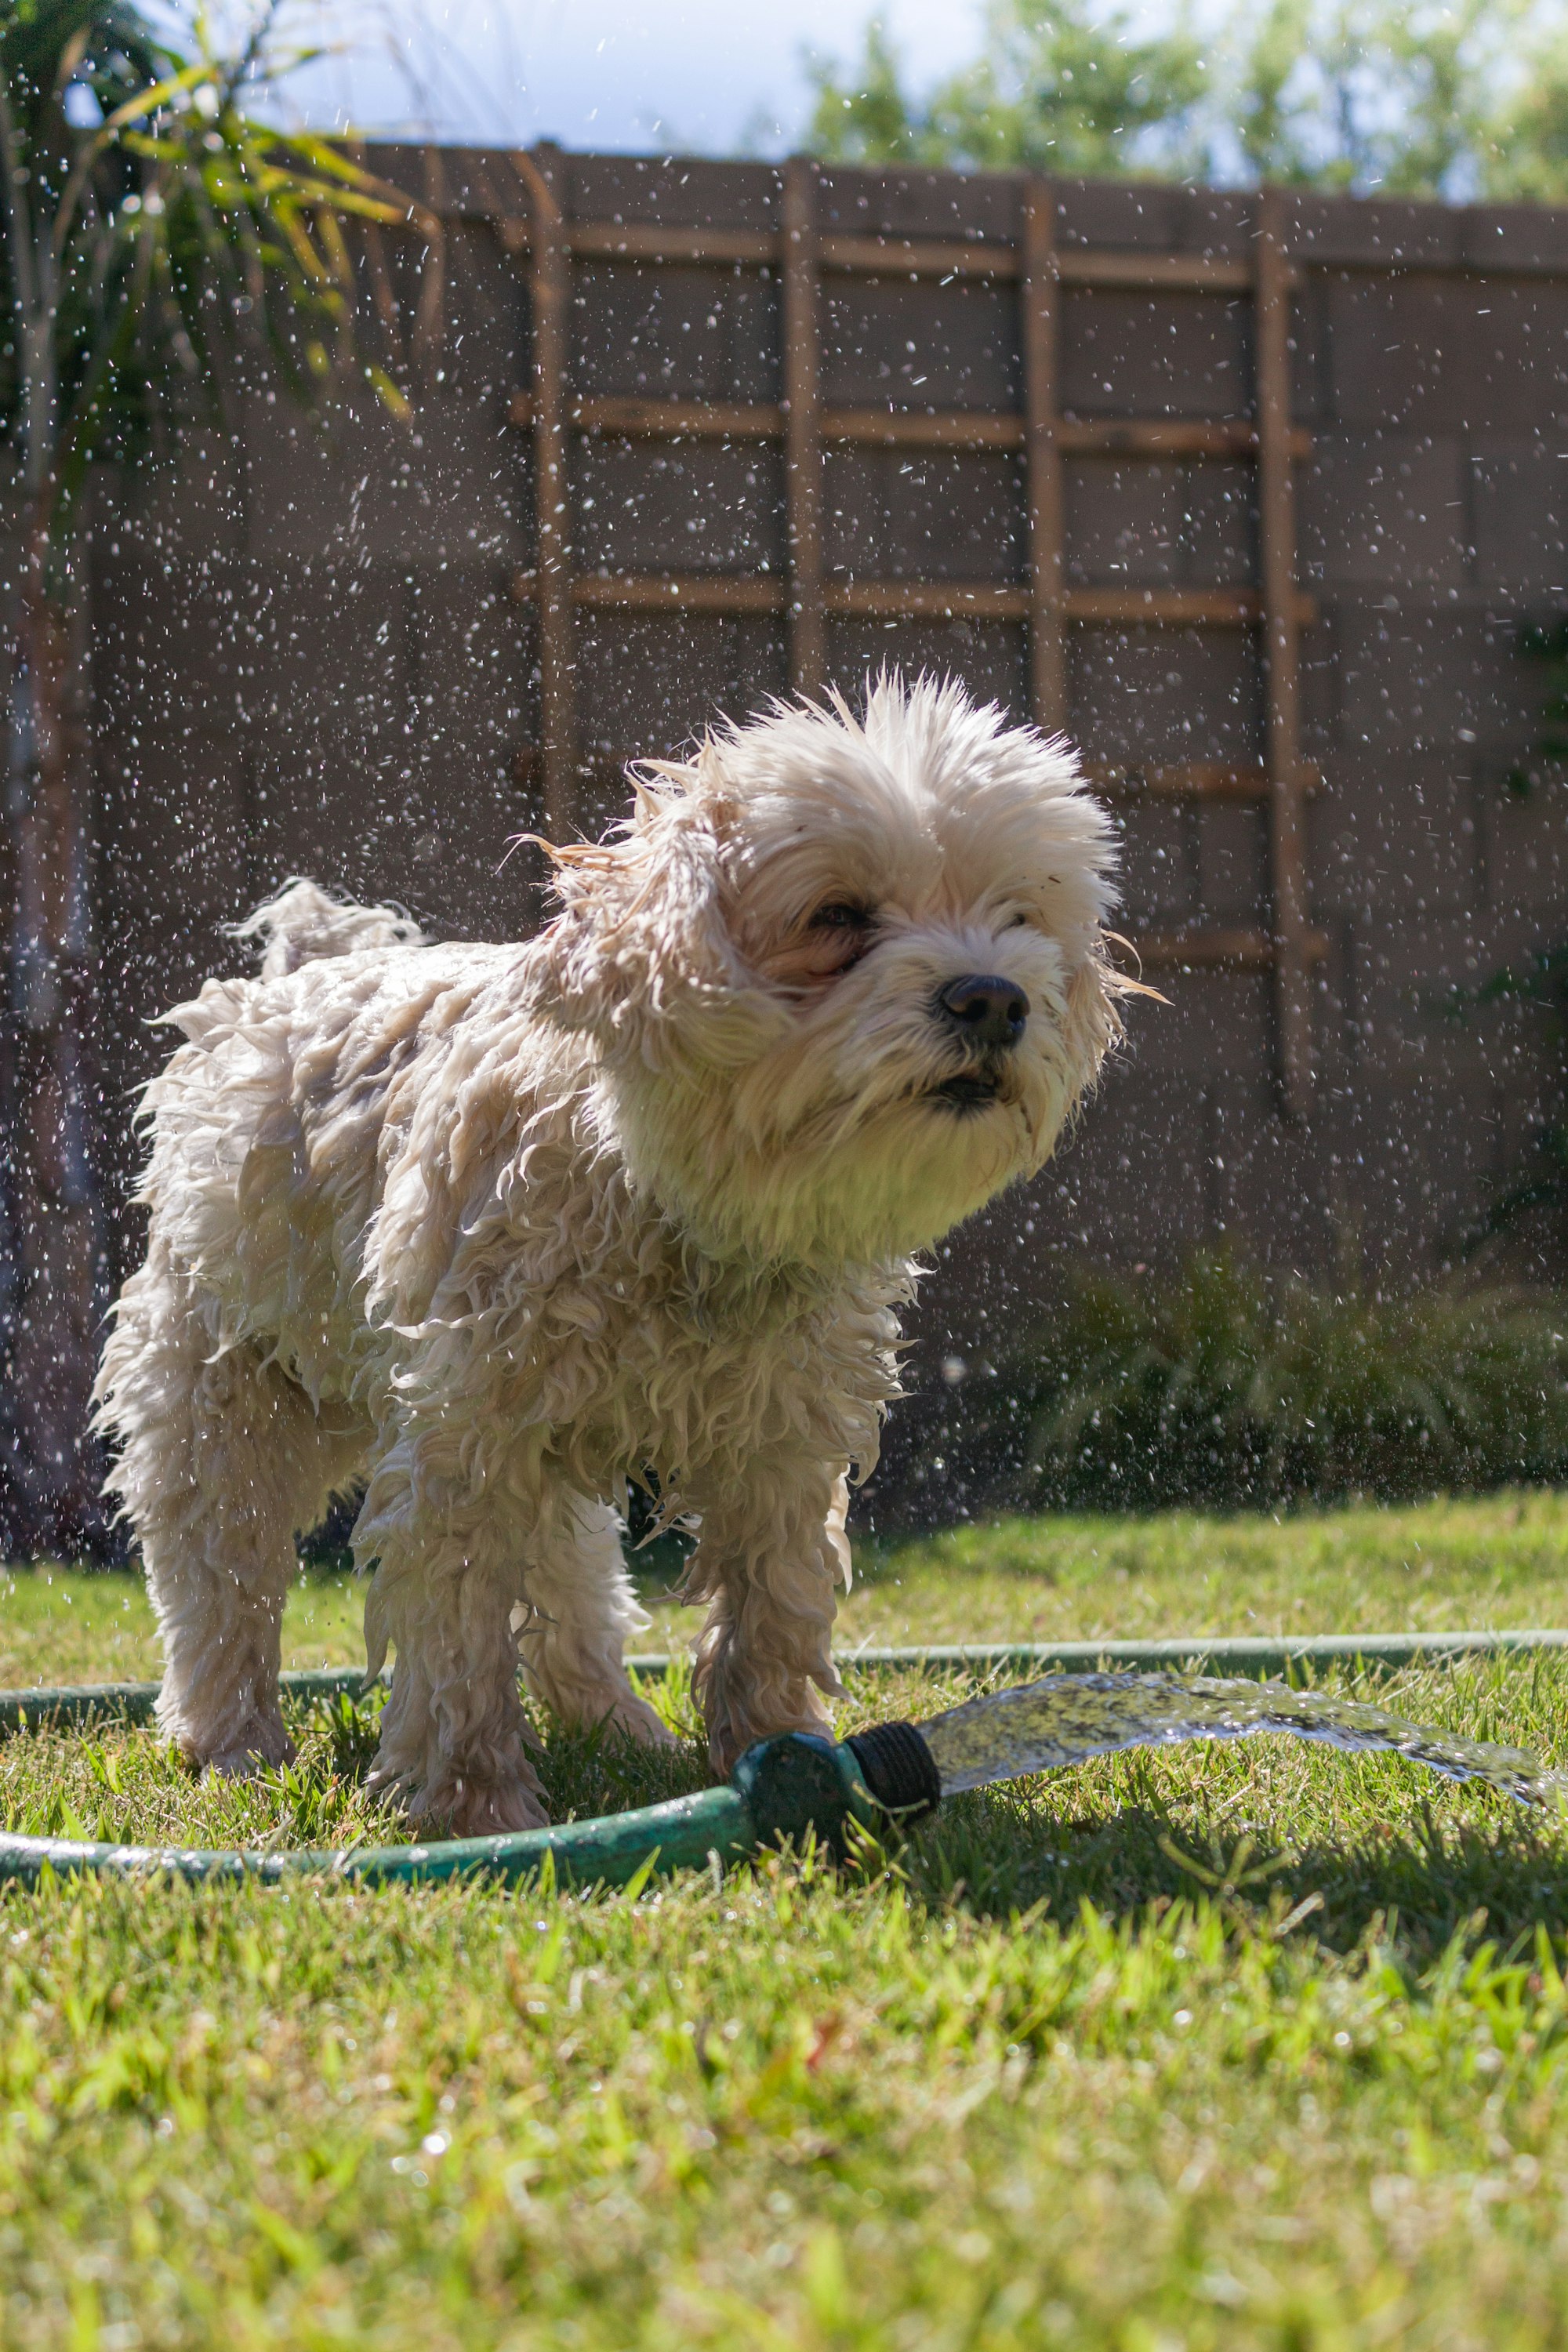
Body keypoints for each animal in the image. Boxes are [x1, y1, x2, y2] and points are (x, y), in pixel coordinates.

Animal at [98, 673, 1123, 1825]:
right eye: (838, 917)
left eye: (1018, 917)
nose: (994, 998)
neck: (675, 1203)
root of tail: (295, 981)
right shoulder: (464, 1443)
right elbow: (457, 1640)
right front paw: (475, 1810)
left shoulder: (781, 1437)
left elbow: (772, 1605)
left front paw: (780, 1754)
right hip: (224, 1397)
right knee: (217, 1577)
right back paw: (232, 1743)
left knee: (570, 1583)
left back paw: (616, 1725)